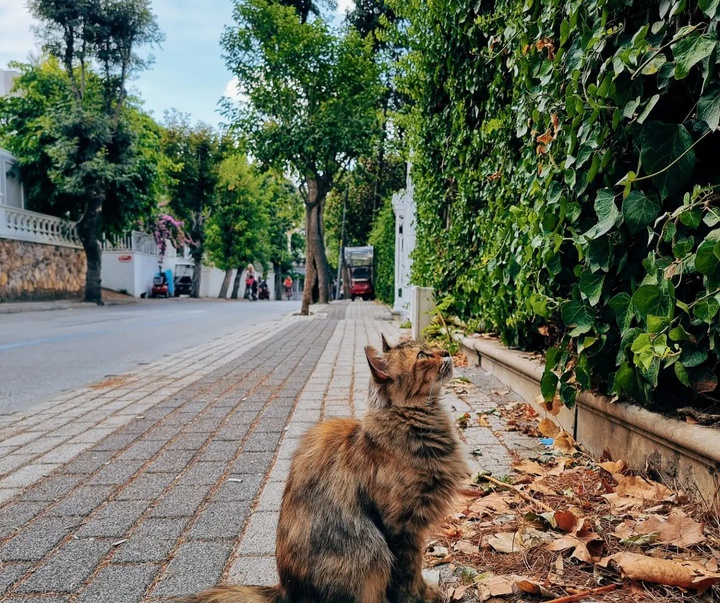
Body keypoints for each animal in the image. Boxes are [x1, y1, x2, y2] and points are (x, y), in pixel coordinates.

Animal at [181, 336, 466, 603]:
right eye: (422, 356)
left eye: (429, 346)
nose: (446, 351)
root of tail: (286, 590)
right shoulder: (402, 527)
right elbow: (408, 573)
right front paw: (423, 596)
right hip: (369, 552)